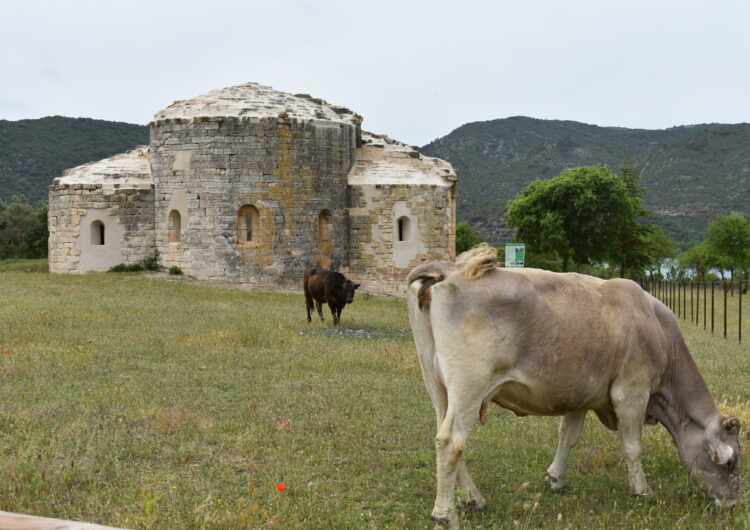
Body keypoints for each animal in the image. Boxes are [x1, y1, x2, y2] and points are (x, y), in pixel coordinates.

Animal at [408, 243, 744, 524]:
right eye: (730, 462)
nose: (733, 505)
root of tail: (450, 268)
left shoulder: (583, 394)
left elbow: (567, 437)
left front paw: (556, 479)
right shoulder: (631, 391)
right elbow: (633, 446)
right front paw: (642, 490)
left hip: (437, 383)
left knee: (444, 435)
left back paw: (472, 499)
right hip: (469, 384)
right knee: (452, 441)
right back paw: (445, 513)